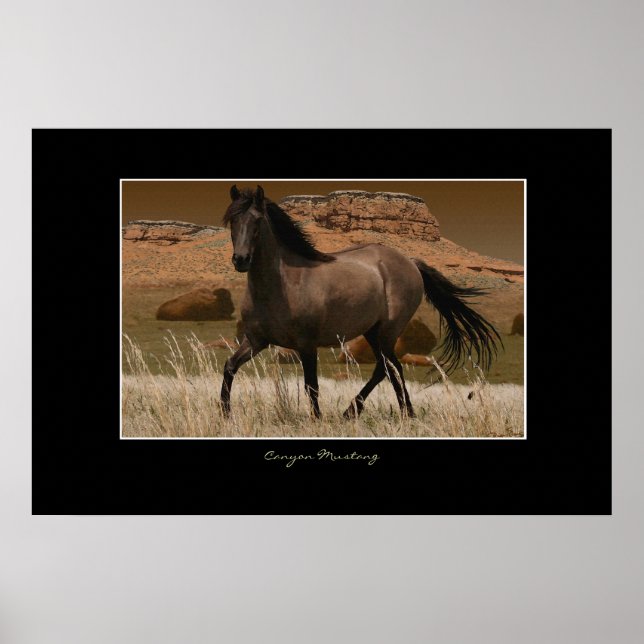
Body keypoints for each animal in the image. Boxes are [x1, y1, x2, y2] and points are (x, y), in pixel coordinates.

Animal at [220, 185, 501, 420]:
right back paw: (403, 413)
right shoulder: (256, 341)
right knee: (391, 368)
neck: (283, 285)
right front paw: (225, 413)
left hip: (386, 331)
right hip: (373, 332)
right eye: (233, 220)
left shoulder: (307, 345)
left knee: (385, 368)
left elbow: (312, 385)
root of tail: (411, 262)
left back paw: (355, 411)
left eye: (257, 220)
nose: (241, 260)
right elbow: (230, 367)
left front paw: (317, 419)